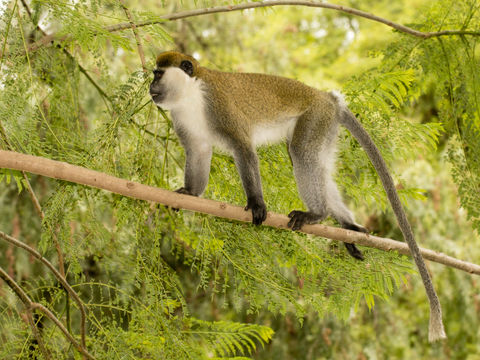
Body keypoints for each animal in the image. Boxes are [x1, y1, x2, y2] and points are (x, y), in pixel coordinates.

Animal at [149, 50, 446, 340]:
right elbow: (199, 149)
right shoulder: (184, 120)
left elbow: (243, 148)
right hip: (325, 126)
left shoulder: (218, 105)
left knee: (301, 154)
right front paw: (190, 193)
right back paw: (346, 225)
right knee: (317, 166)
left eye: (158, 74)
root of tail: (327, 97)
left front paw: (256, 204)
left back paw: (317, 214)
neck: (191, 95)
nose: (150, 86)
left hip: (316, 117)